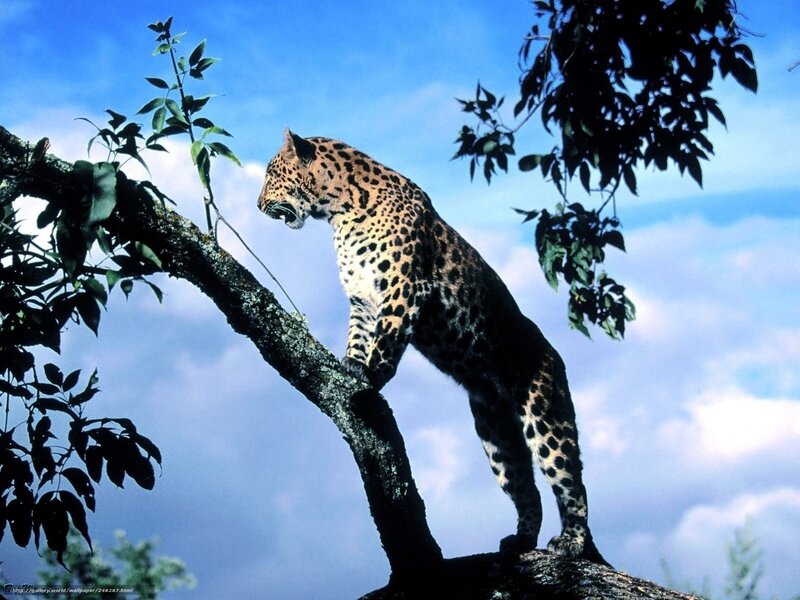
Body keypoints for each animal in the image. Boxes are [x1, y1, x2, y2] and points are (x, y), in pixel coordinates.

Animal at [257, 129, 608, 565]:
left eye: (271, 173)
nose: (257, 205)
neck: (339, 210)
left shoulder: (405, 287)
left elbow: (386, 340)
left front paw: (370, 377)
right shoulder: (362, 300)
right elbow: (358, 337)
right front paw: (350, 365)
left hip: (546, 416)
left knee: (572, 484)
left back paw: (572, 543)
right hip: (495, 434)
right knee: (527, 490)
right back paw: (521, 541)